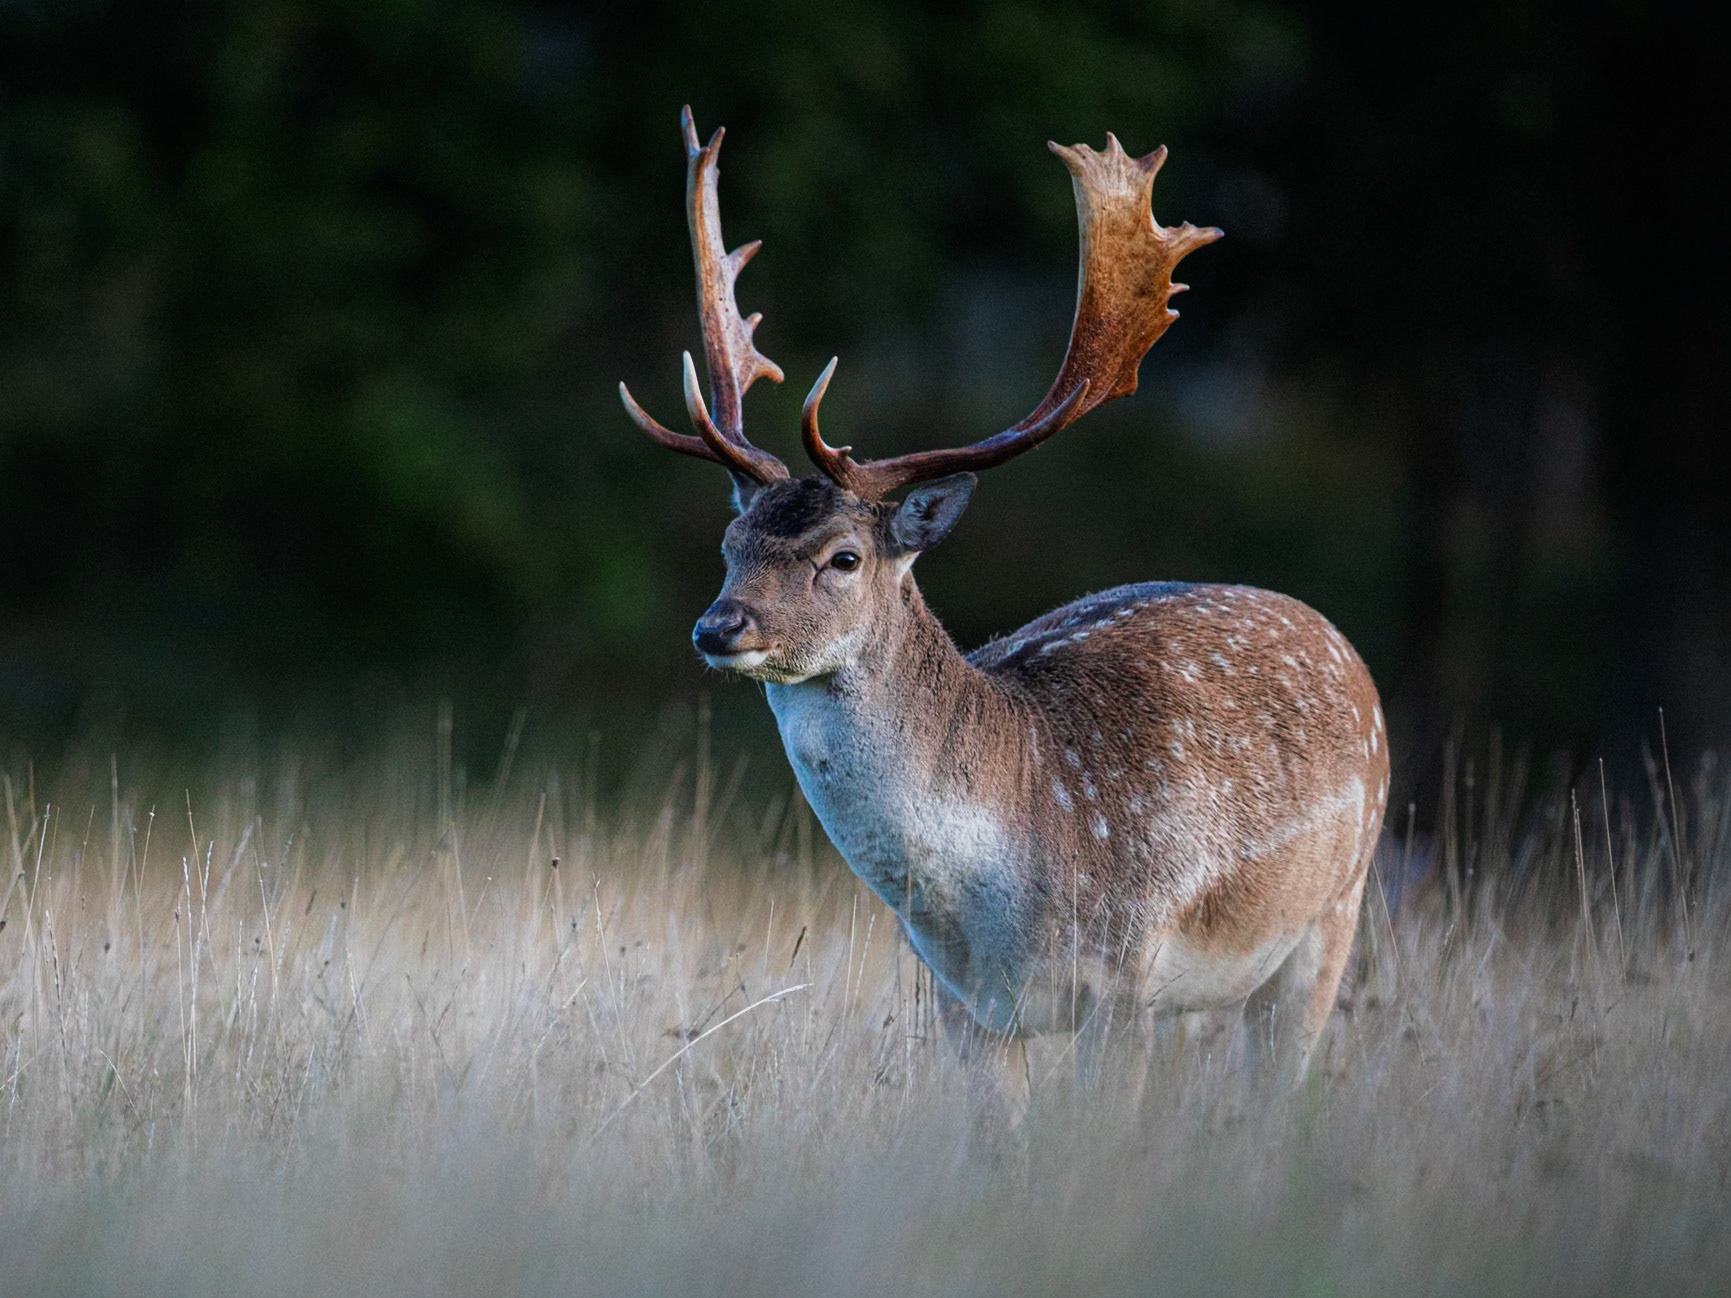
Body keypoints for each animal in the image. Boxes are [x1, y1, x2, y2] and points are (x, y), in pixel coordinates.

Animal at [619, 108, 1389, 1098]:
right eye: (731, 546)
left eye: (843, 557)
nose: (718, 627)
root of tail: (1340, 643)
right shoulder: (961, 1002)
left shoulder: (1127, 971)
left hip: (1331, 915)